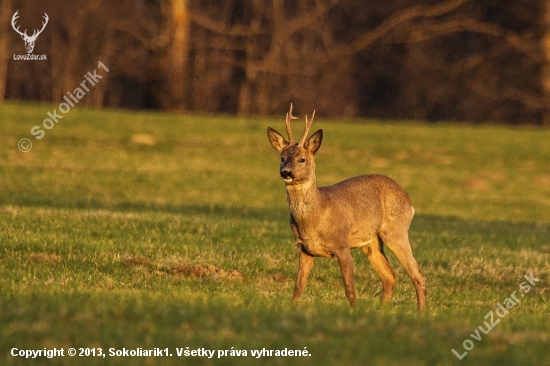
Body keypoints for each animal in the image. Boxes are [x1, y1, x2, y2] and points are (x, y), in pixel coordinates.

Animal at [270, 104, 430, 310]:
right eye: (282, 157)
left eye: (302, 159)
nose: (286, 172)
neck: (317, 214)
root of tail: (408, 201)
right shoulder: (304, 249)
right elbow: (298, 288)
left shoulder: (342, 245)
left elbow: (350, 290)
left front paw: (354, 311)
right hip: (371, 242)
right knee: (390, 277)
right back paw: (381, 310)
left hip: (396, 230)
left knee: (417, 274)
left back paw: (420, 312)